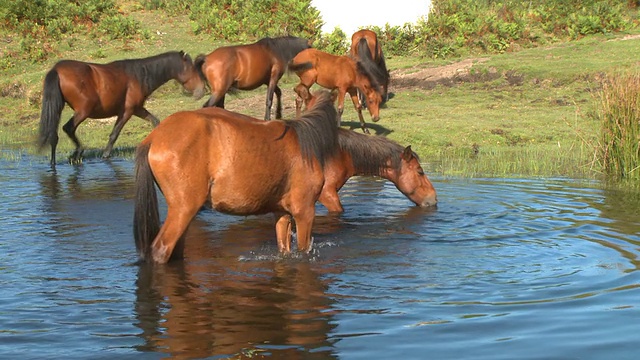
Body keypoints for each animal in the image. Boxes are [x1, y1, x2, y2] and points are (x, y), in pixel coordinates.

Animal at [36, 50, 205, 167]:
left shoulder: (137, 109)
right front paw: (105, 155)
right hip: (83, 111)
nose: (201, 90)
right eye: (192, 69)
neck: (139, 75)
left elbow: (155, 121)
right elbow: (114, 135)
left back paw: (54, 162)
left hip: (58, 108)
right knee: (68, 128)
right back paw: (77, 152)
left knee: (54, 135)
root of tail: (57, 70)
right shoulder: (127, 111)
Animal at [132, 91, 338, 262]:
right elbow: (303, 251)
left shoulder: (282, 214)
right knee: (161, 250)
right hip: (183, 209)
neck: (305, 143)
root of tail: (154, 137)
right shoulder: (304, 212)